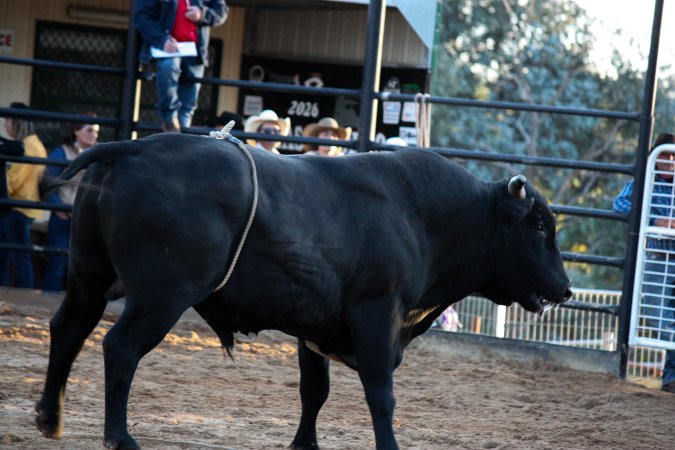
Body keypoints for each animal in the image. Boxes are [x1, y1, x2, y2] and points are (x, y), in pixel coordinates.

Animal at [35, 132, 572, 450]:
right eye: (539, 228)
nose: (565, 288)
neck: (422, 214)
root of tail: (139, 146)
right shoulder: (377, 316)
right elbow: (381, 394)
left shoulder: (313, 326)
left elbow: (314, 391)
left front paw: (304, 444)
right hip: (160, 297)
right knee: (119, 348)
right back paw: (119, 436)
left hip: (88, 278)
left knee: (68, 330)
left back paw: (50, 417)